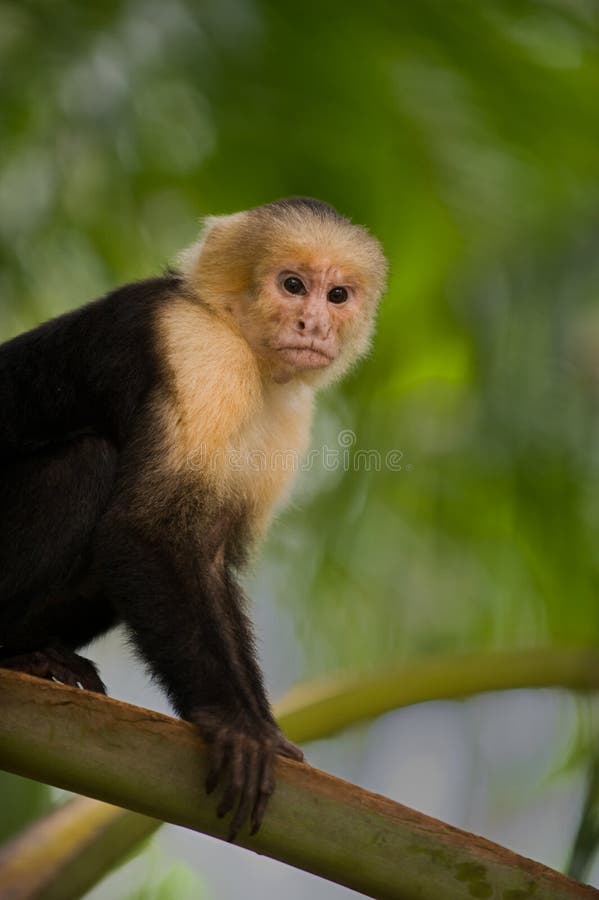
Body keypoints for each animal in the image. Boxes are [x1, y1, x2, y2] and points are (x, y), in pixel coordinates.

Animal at [0, 197, 387, 840]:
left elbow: (207, 557)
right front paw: (234, 724)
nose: (315, 326)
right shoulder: (199, 353)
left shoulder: (289, 415)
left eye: (337, 296)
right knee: (85, 465)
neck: (236, 336)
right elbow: (144, 530)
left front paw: (266, 730)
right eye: (292, 285)